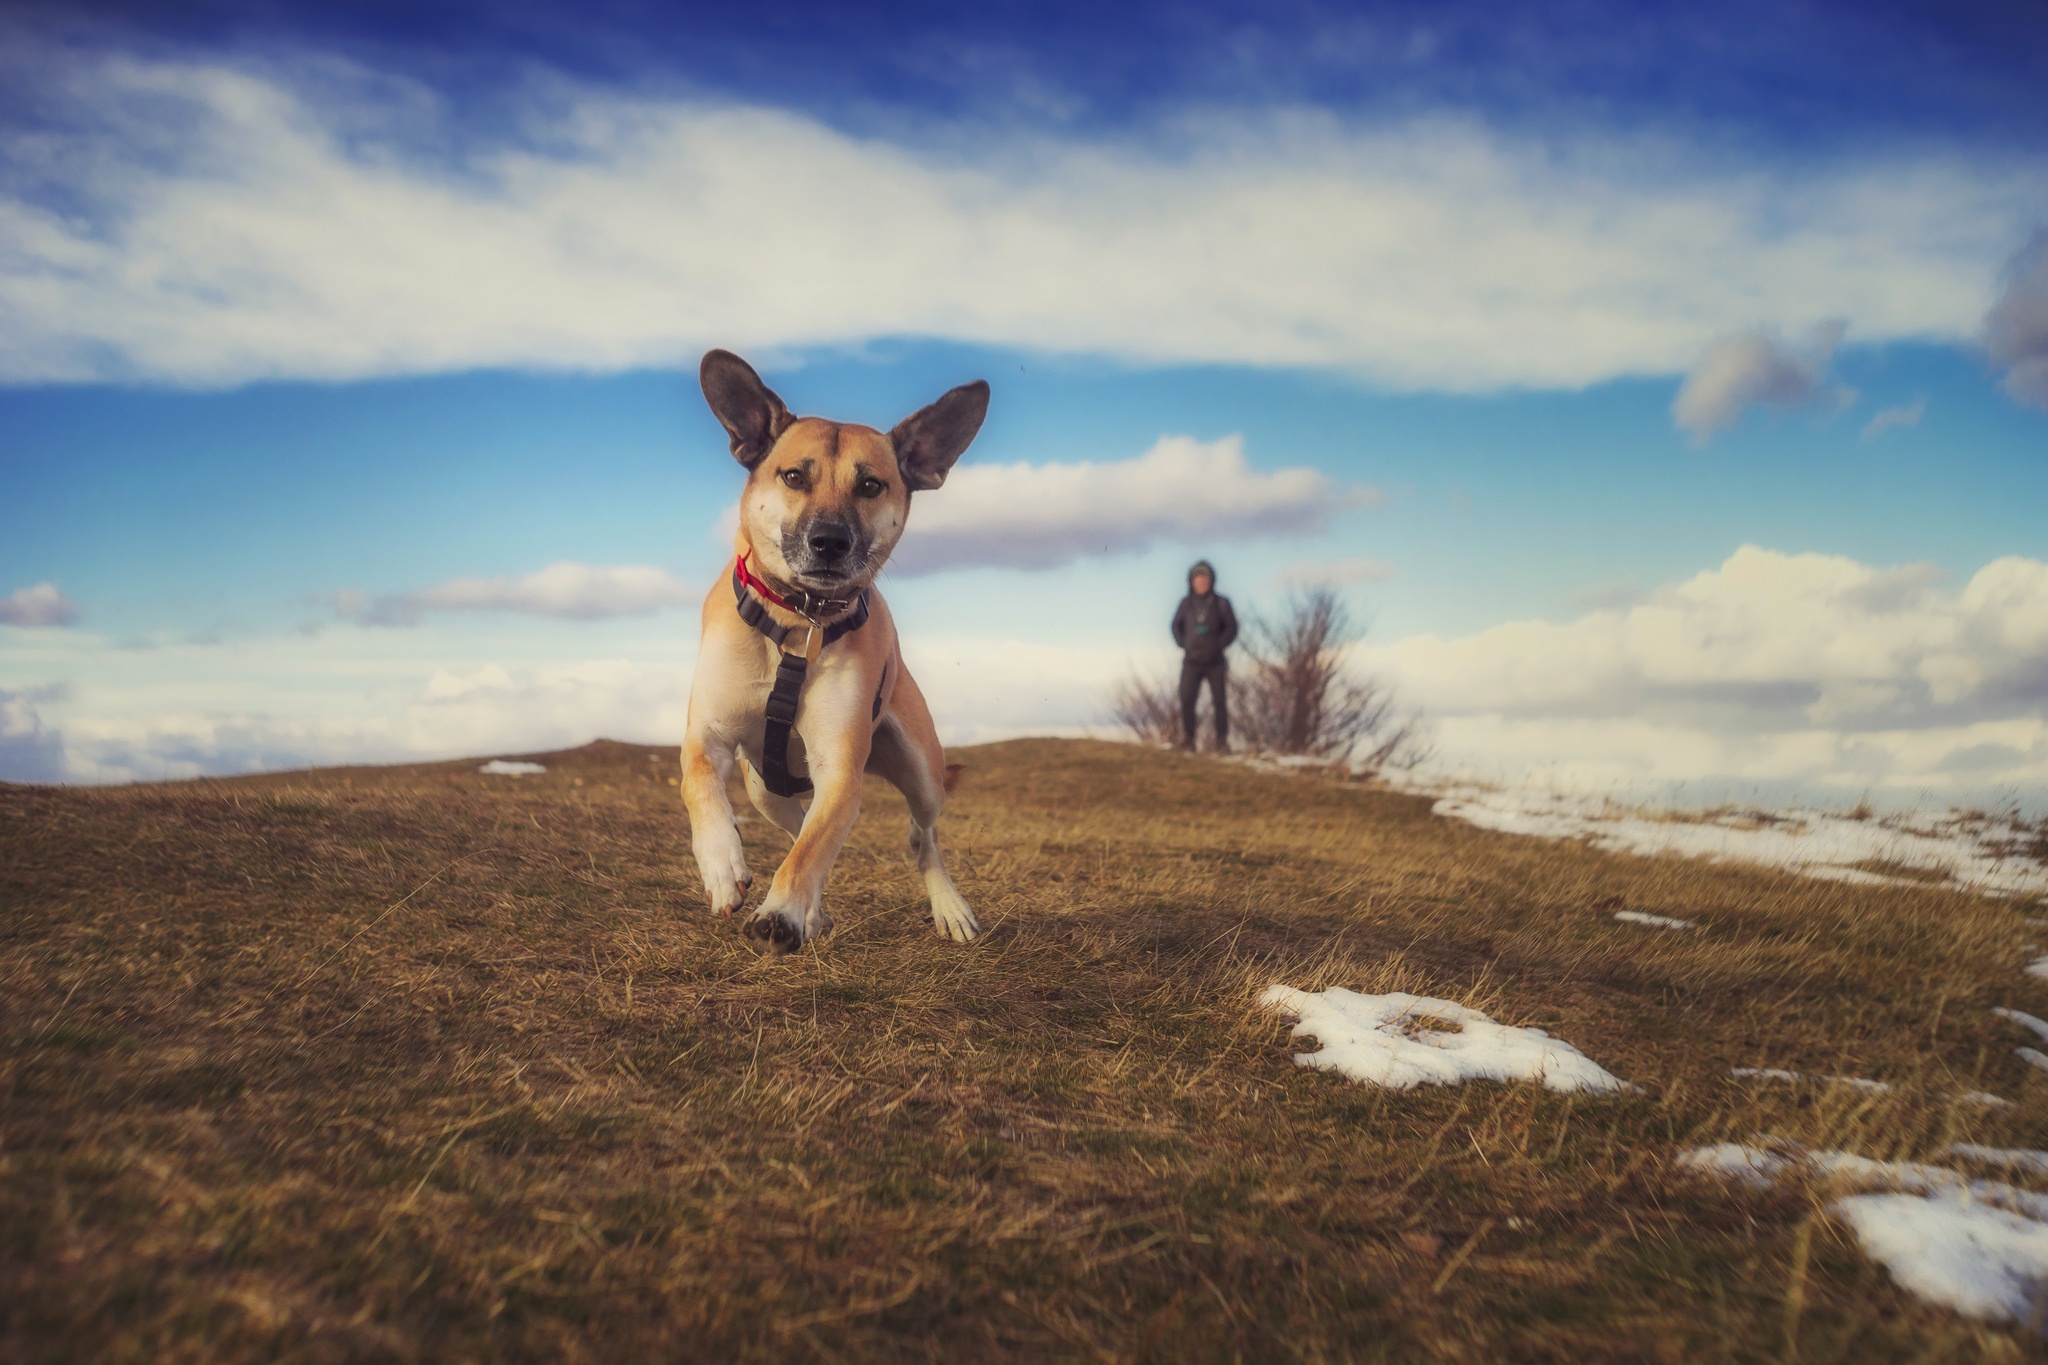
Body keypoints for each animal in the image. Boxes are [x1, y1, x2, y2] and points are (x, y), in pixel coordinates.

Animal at [679, 347, 991, 957]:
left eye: (870, 485)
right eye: (794, 476)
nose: (829, 541)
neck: (794, 624)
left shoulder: (842, 767)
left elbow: (808, 856)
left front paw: (780, 913)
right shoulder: (707, 732)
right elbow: (700, 783)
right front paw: (723, 865)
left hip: (922, 769)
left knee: (919, 837)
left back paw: (948, 907)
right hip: (765, 789)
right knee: (800, 823)